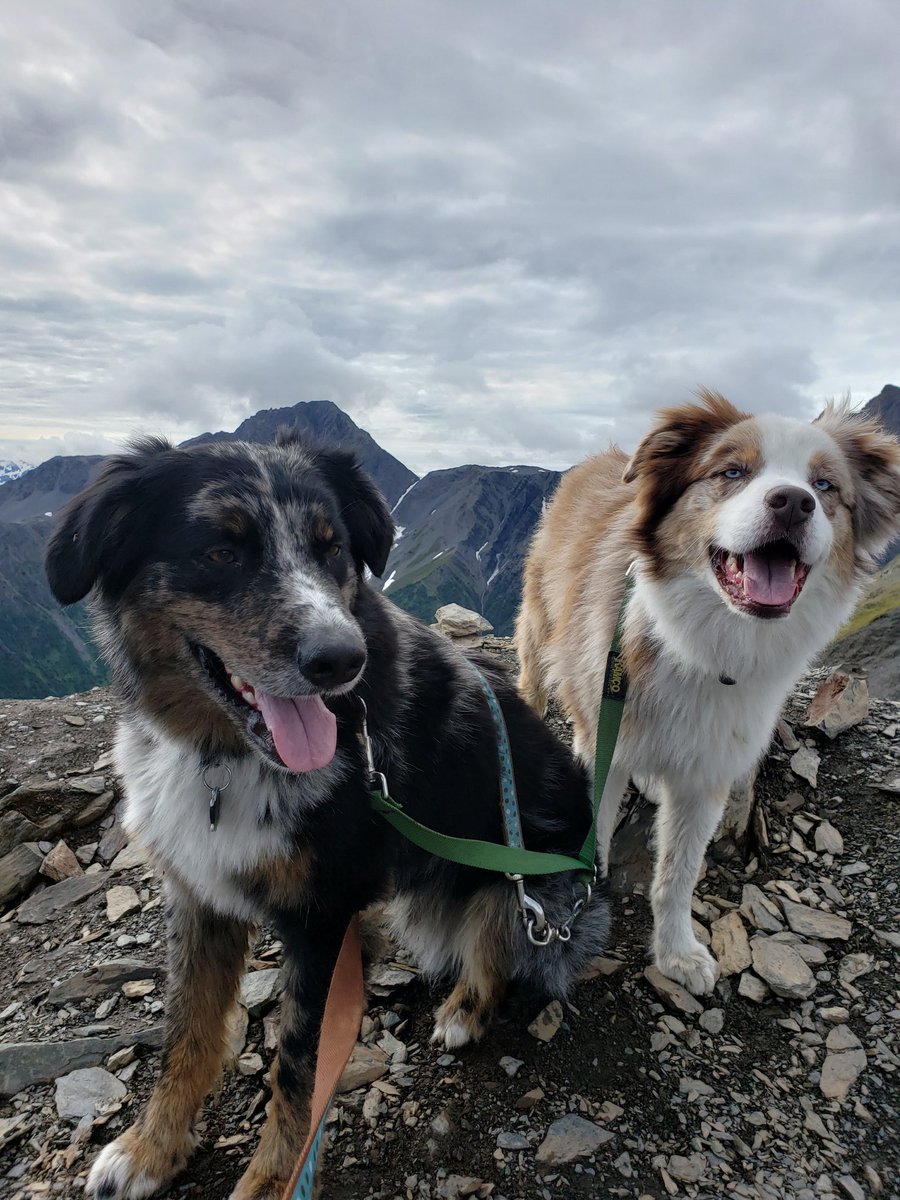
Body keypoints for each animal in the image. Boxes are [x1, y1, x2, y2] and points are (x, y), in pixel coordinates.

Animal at [47, 432, 614, 1200]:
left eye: (333, 548)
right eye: (221, 550)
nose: (342, 660)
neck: (222, 755)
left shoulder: (322, 918)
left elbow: (297, 1067)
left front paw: (270, 1183)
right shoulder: (198, 892)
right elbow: (185, 1031)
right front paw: (150, 1148)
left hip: (523, 890)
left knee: (499, 948)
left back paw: (464, 1010)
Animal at [518, 393, 900, 993]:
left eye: (825, 485)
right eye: (732, 472)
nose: (794, 503)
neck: (709, 646)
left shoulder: (709, 775)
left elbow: (679, 872)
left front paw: (676, 953)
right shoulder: (605, 741)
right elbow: (594, 828)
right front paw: (588, 891)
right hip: (541, 630)